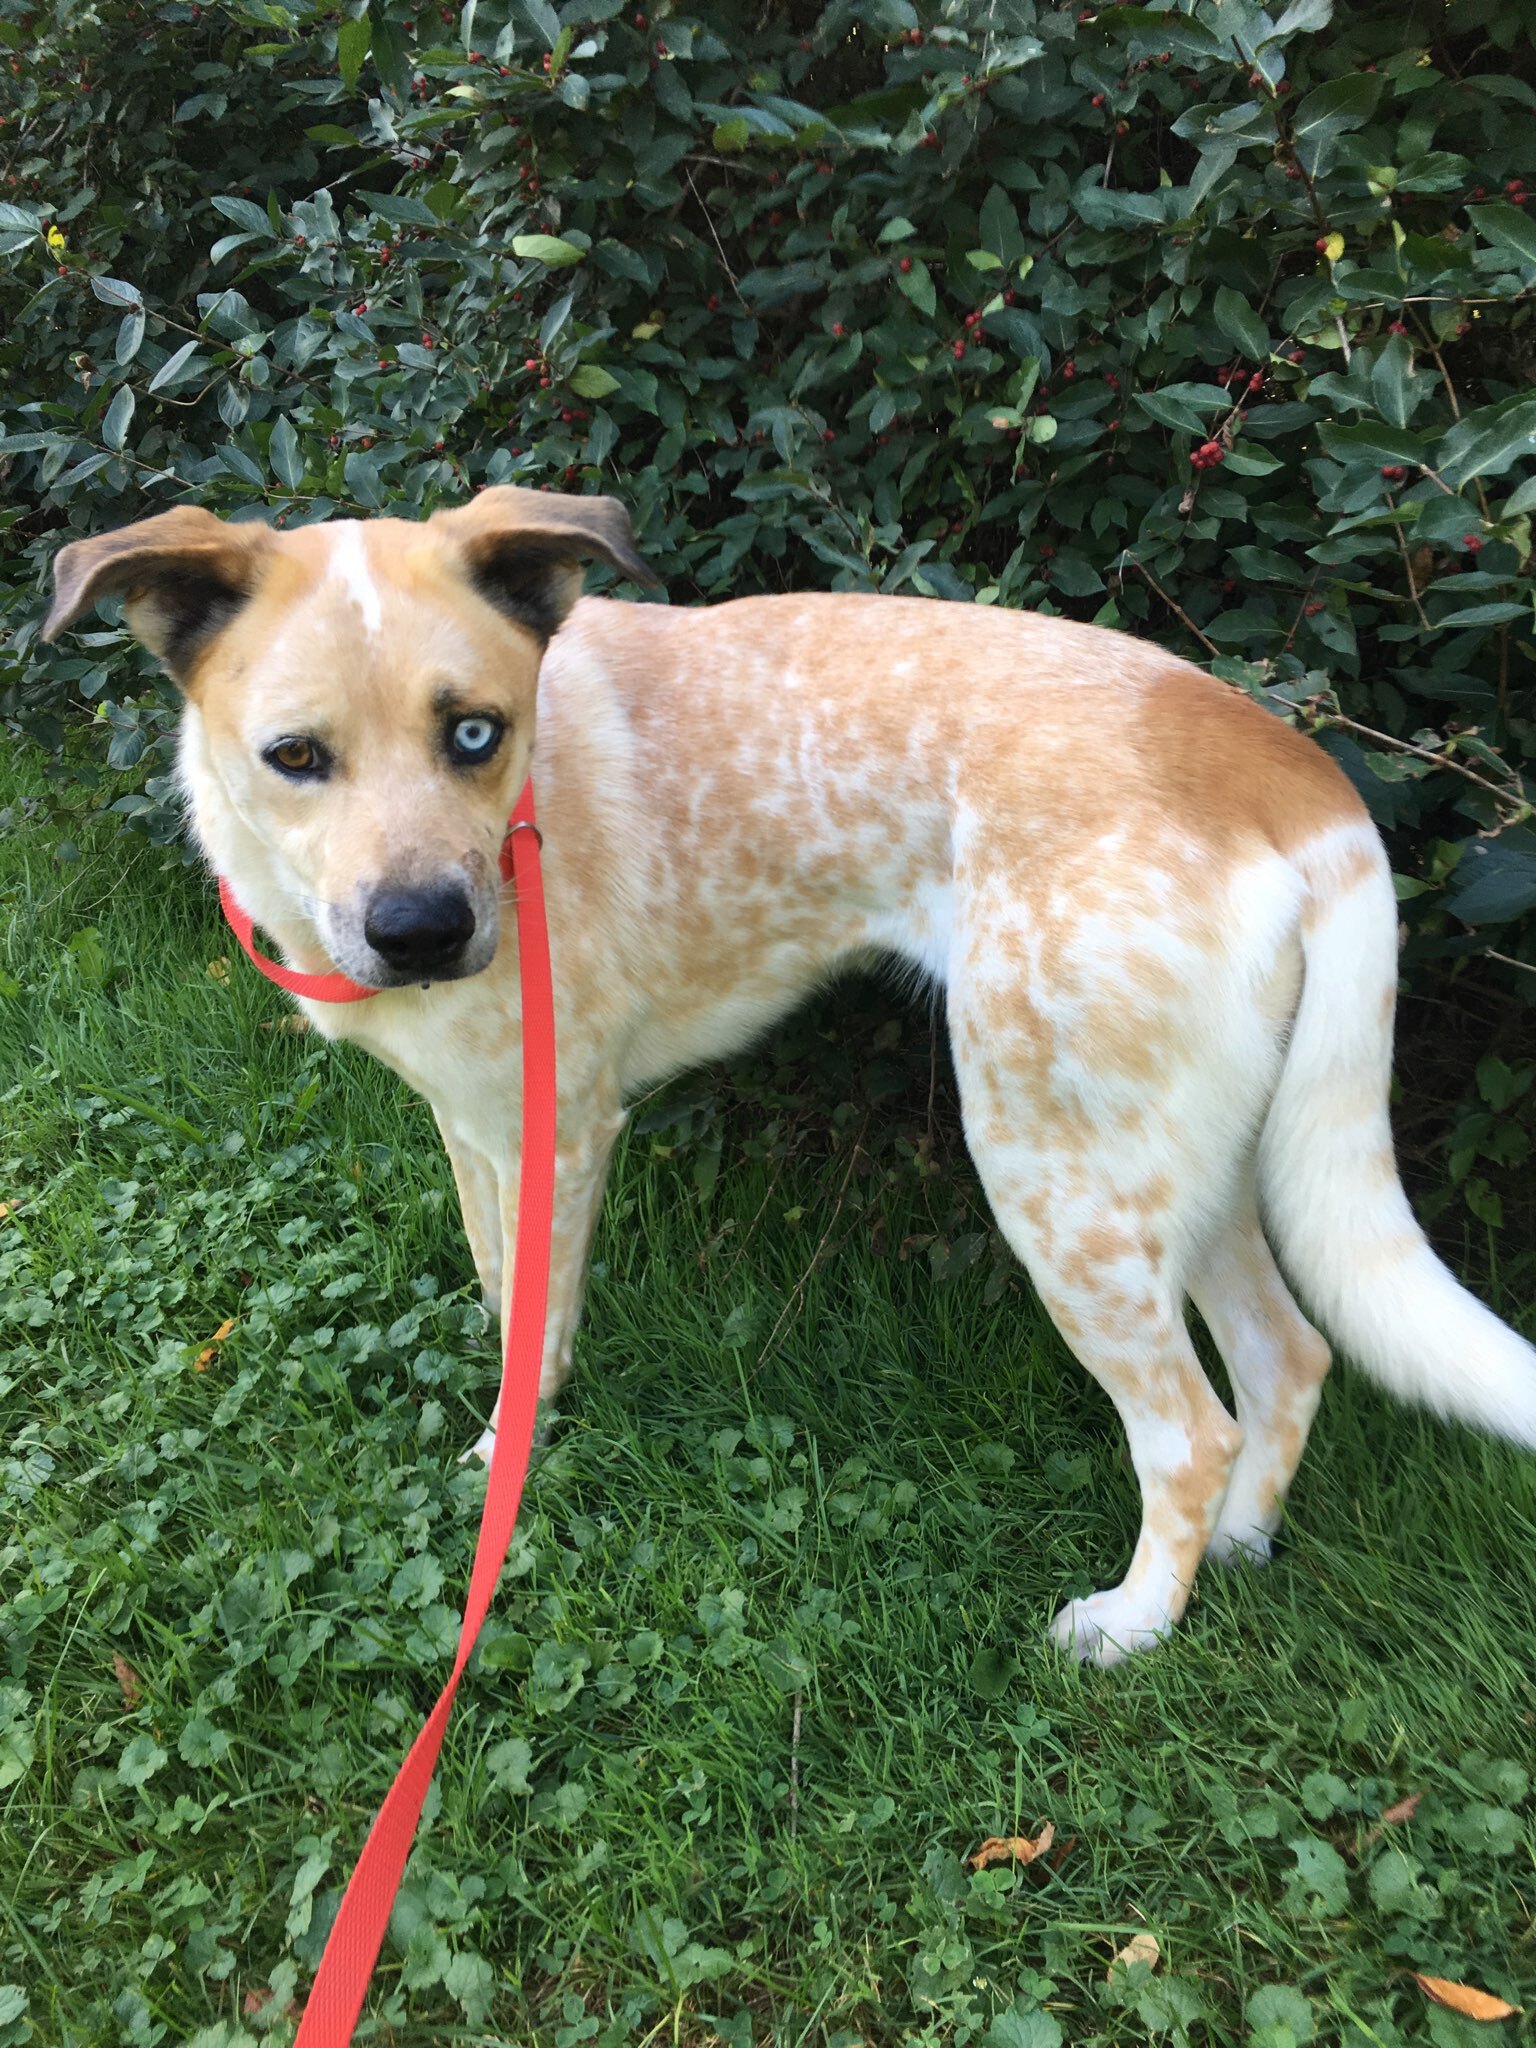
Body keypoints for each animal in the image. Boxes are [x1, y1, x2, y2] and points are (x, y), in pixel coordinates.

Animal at [45, 491, 1536, 1662]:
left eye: (475, 731)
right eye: (294, 756)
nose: (423, 931)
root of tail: (1295, 775)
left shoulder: (560, 1130)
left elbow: (536, 1340)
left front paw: (503, 1481)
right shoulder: (472, 1125)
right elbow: (496, 1294)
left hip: (1055, 1177)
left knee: (1189, 1429)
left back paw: (1133, 1625)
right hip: (1183, 1164)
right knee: (1291, 1356)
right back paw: (1238, 1548)